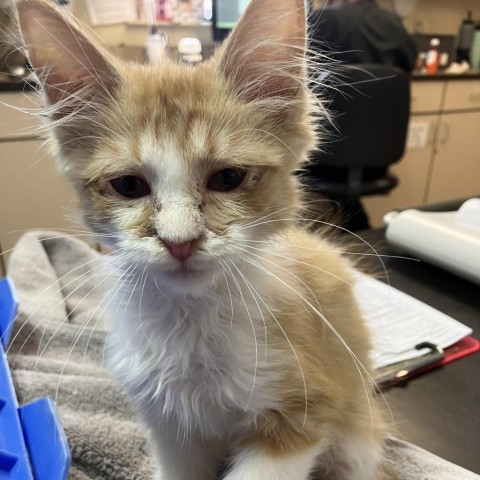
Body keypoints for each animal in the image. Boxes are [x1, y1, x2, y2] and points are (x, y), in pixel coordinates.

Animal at [15, 0, 384, 480]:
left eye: (227, 178)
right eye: (129, 186)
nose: (180, 242)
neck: (191, 322)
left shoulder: (302, 410)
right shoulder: (170, 422)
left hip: (358, 438)